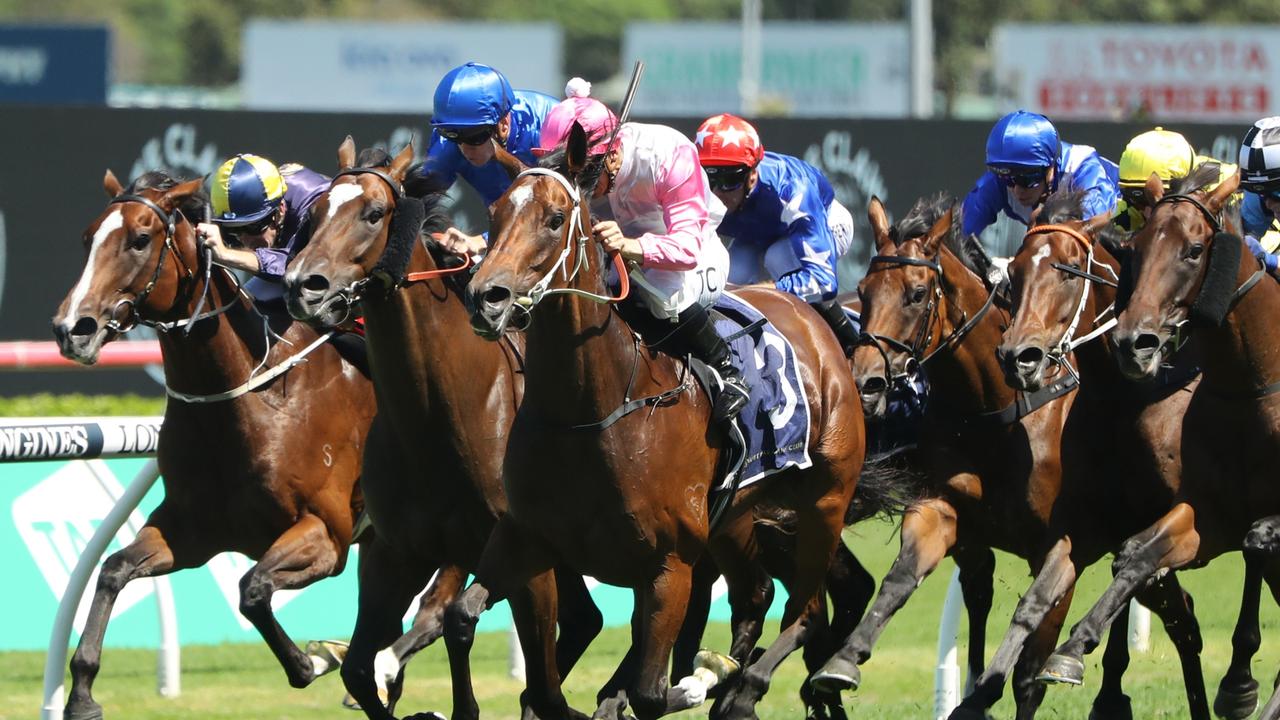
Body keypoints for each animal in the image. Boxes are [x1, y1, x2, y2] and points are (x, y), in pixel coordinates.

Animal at [53, 170, 373, 712]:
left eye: (140, 239)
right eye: (86, 238)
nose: (72, 329)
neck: (256, 398)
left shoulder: (327, 534)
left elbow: (252, 589)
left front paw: (313, 661)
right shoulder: (190, 531)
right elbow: (113, 568)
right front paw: (82, 692)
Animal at [282, 140, 601, 717]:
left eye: (373, 213)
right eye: (313, 216)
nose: (303, 286)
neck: (433, 418)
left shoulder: (525, 560)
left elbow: (526, 673)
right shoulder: (394, 555)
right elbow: (359, 669)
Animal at [453, 119, 870, 717]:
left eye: (555, 219)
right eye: (495, 214)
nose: (486, 298)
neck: (590, 413)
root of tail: (815, 318)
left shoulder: (669, 566)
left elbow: (649, 691)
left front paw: (694, 680)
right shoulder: (527, 538)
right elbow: (471, 625)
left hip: (824, 503)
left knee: (807, 613)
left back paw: (743, 685)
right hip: (735, 520)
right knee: (757, 595)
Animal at [1044, 165, 1280, 707]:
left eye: (1194, 250)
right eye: (1136, 248)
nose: (1135, 341)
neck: (1253, 385)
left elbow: (1259, 540)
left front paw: (1239, 684)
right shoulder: (1209, 513)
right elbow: (1138, 553)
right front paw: (1071, 650)